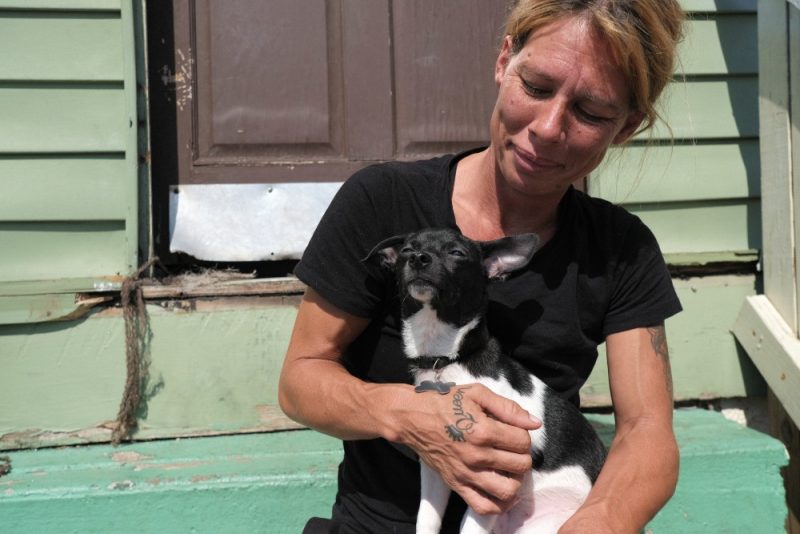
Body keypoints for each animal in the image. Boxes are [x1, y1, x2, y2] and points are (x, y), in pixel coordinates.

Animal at [368, 229, 608, 534]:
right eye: (407, 250)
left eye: (457, 253)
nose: (418, 258)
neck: (448, 359)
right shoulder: (436, 466)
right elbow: (427, 519)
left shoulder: (499, 471)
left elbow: (471, 528)